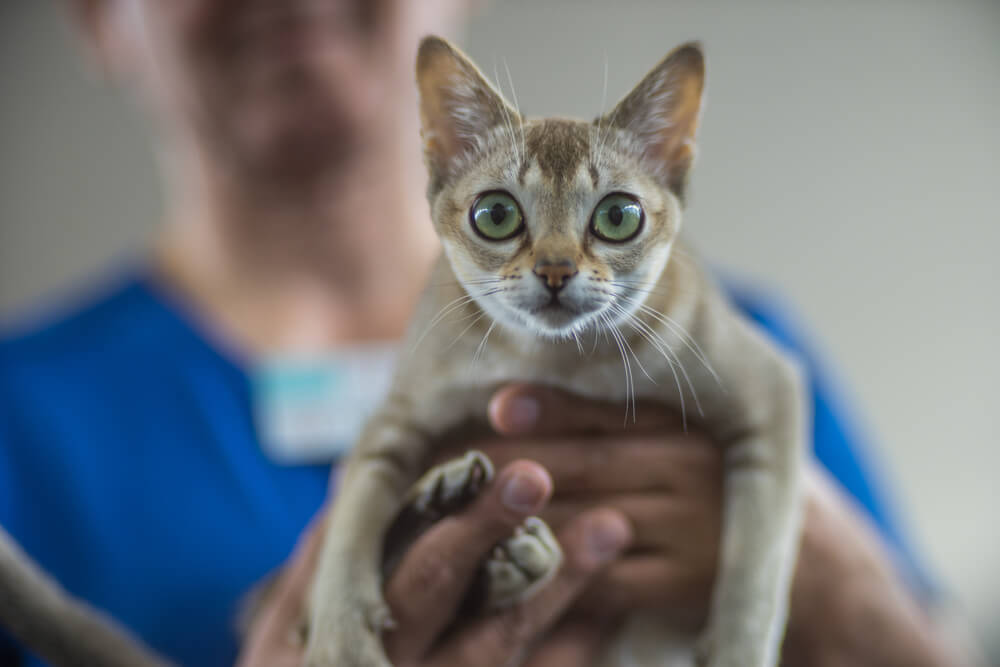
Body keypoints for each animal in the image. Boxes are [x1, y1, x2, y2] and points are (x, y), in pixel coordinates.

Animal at [302, 35, 804, 667]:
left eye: (618, 216)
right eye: (496, 214)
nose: (556, 270)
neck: (559, 361)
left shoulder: (771, 385)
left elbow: (757, 561)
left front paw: (738, 648)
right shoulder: (396, 416)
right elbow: (350, 524)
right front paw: (339, 636)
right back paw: (451, 504)